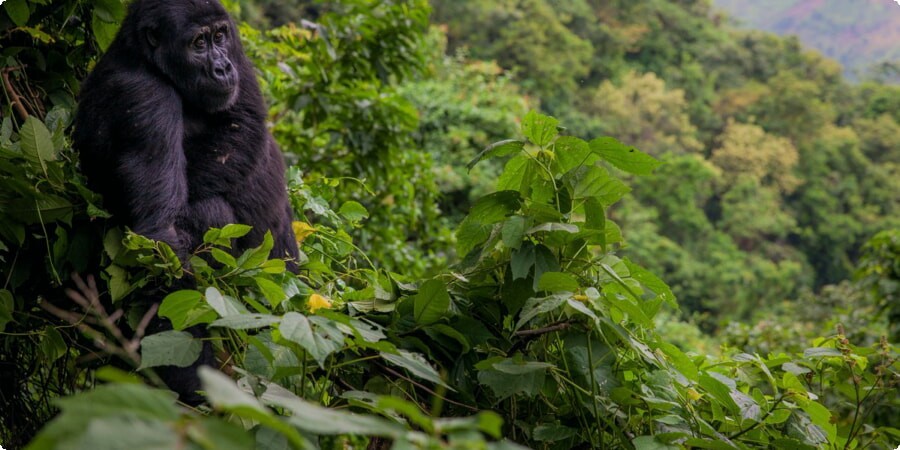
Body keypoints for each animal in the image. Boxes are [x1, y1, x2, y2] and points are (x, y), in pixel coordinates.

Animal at [74, 0, 298, 404]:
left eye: (220, 37)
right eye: (198, 44)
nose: (223, 67)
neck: (143, 58)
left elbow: (243, 120)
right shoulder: (145, 98)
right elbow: (160, 238)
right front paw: (195, 386)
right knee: (211, 213)